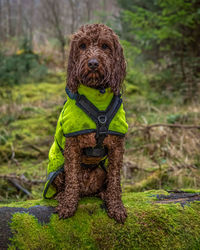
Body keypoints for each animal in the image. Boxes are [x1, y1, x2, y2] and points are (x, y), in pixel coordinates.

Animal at [54, 23, 127, 223]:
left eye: (105, 46)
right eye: (83, 46)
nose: (93, 63)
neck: (96, 94)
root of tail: (86, 191)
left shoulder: (117, 147)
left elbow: (115, 180)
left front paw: (116, 206)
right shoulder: (71, 147)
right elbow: (72, 179)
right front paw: (68, 205)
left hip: (101, 172)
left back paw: (103, 194)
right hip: (58, 173)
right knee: (65, 185)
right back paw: (62, 196)